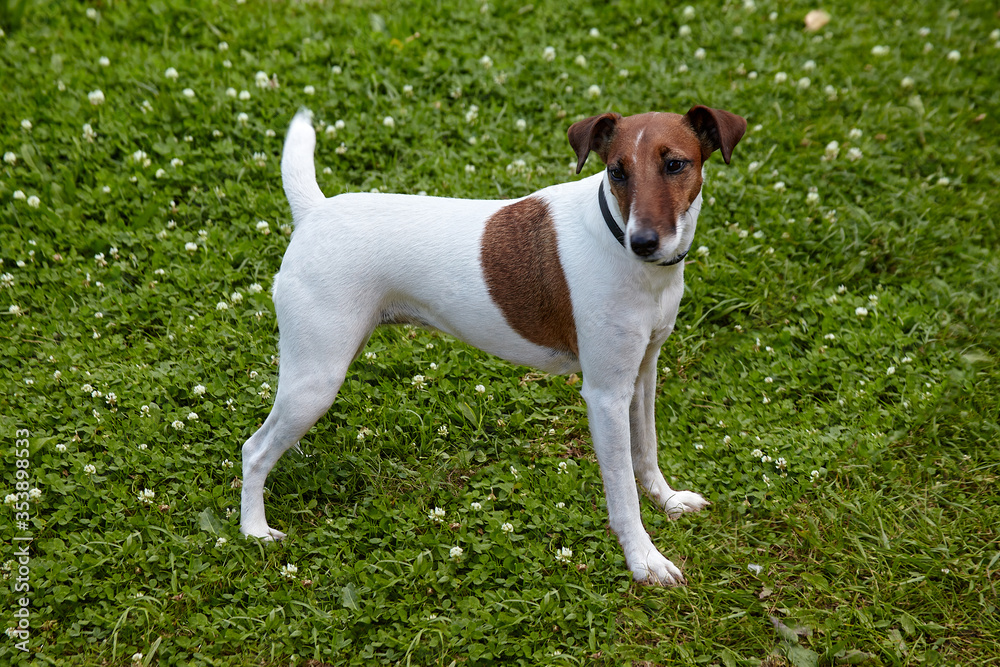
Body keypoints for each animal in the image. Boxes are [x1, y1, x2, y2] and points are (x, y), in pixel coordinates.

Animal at [242, 104, 744, 584]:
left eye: (676, 164)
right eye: (616, 172)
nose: (642, 242)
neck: (616, 235)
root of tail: (314, 211)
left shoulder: (642, 373)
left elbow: (646, 450)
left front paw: (667, 499)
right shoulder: (605, 395)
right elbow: (622, 492)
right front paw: (643, 560)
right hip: (316, 380)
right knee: (255, 450)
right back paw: (254, 531)